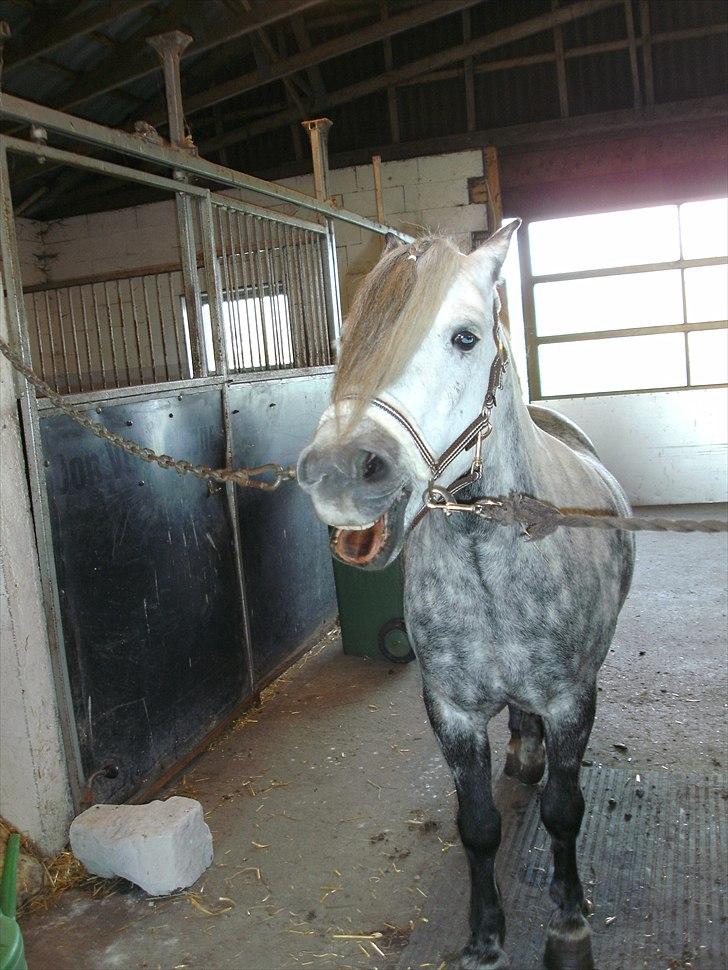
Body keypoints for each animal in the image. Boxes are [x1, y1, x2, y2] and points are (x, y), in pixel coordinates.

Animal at [298, 223, 636, 964]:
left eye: (464, 337)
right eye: (350, 338)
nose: (338, 473)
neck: (491, 565)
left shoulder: (572, 701)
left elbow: (564, 812)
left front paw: (569, 925)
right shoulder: (451, 711)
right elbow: (477, 826)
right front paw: (485, 938)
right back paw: (524, 753)